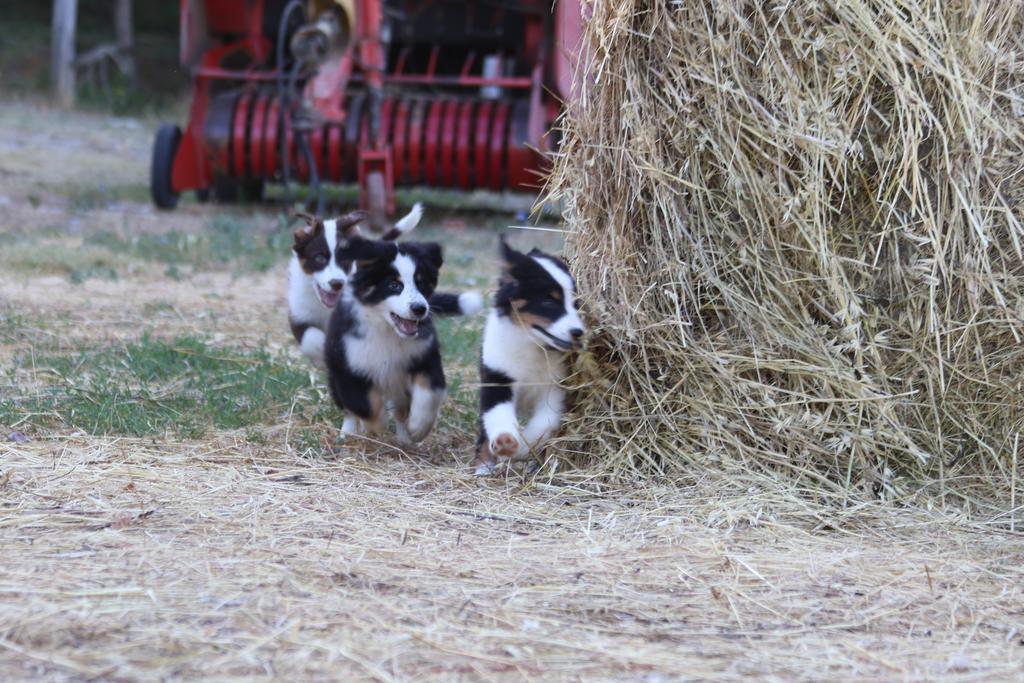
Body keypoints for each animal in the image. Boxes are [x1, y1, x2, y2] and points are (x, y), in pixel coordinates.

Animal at [321, 237, 446, 446]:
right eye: (394, 285)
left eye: (421, 283)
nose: (420, 308)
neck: (387, 330)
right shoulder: (348, 364)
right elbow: (362, 403)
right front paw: (376, 426)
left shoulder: (425, 354)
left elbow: (431, 391)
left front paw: (419, 427)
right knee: (349, 408)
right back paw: (348, 433)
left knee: (401, 410)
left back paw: (405, 439)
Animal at [471, 235, 585, 475]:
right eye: (549, 301)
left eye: (576, 304)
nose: (578, 332)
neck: (531, 344)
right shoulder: (496, 377)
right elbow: (497, 414)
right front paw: (504, 441)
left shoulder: (554, 387)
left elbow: (544, 424)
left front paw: (521, 448)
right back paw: (484, 466)